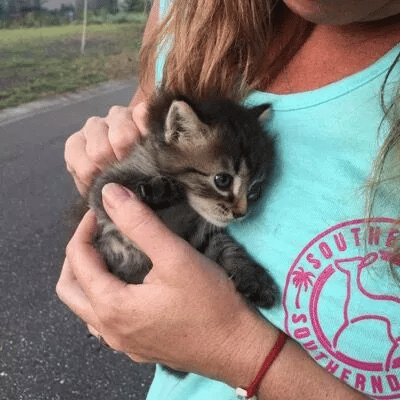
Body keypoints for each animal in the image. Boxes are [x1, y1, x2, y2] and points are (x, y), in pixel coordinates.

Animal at [88, 91, 276, 306]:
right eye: (222, 180)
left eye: (255, 189)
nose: (241, 213)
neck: (182, 210)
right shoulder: (102, 190)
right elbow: (120, 185)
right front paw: (161, 189)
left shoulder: (199, 235)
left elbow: (227, 248)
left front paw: (252, 276)